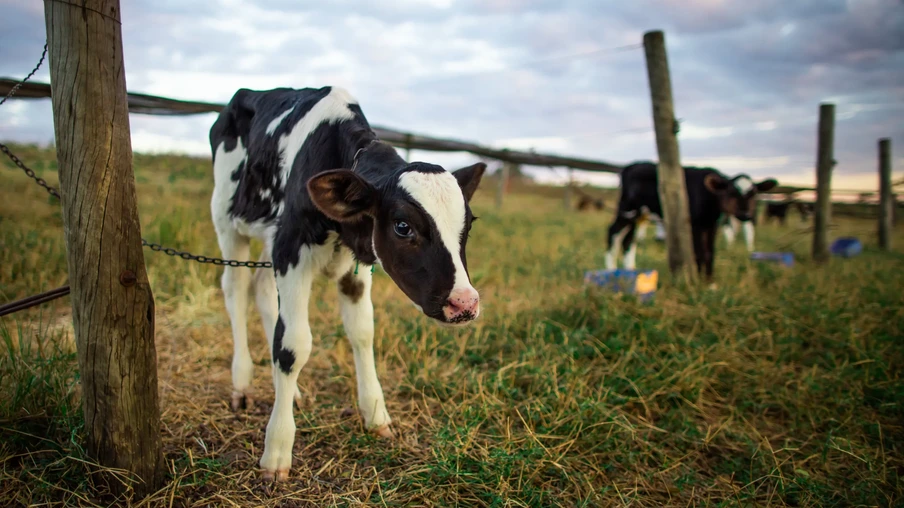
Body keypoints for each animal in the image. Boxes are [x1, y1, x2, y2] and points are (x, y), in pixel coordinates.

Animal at [209, 86, 486, 481]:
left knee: (262, 290)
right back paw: (243, 384)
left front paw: (376, 415)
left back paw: (289, 392)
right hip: (228, 220)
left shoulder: (350, 265)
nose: (465, 303)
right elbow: (292, 345)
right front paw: (276, 450)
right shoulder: (291, 248)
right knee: (235, 289)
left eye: (470, 223)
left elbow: (362, 332)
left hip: (267, 237)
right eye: (403, 226)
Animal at [605, 162, 776, 280]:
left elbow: (709, 252)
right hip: (628, 210)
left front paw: (709, 282)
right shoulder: (694, 224)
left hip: (640, 215)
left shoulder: (711, 225)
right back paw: (611, 271)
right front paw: (699, 280)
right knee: (614, 232)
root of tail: (629, 167)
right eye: (731, 192)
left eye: (753, 193)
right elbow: (699, 252)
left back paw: (630, 271)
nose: (746, 214)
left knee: (628, 240)